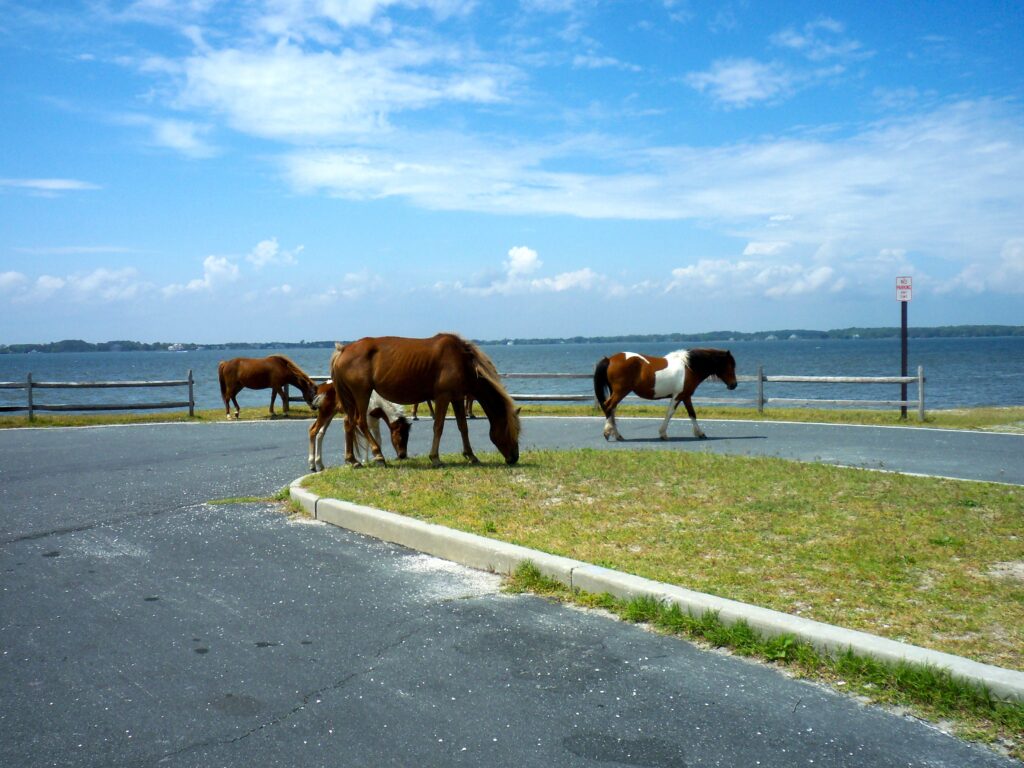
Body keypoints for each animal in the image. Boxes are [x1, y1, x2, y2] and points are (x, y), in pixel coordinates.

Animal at [331, 335, 520, 468]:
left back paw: (353, 460)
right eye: (512, 430)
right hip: (361, 393)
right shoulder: (443, 397)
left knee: (348, 423)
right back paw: (378, 455)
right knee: (360, 422)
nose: (514, 457)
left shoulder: (457, 398)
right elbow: (438, 426)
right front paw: (435, 458)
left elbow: (463, 427)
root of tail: (343, 350)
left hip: (351, 398)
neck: (461, 360)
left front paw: (471, 455)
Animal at [593, 350, 737, 442]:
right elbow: (670, 413)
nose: (734, 385)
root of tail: (609, 359)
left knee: (612, 409)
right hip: (620, 391)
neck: (688, 367)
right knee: (608, 406)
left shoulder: (686, 396)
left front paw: (700, 433)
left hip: (616, 392)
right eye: (730, 365)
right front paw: (663, 434)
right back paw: (608, 433)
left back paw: (617, 435)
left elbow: (692, 414)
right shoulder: (678, 396)